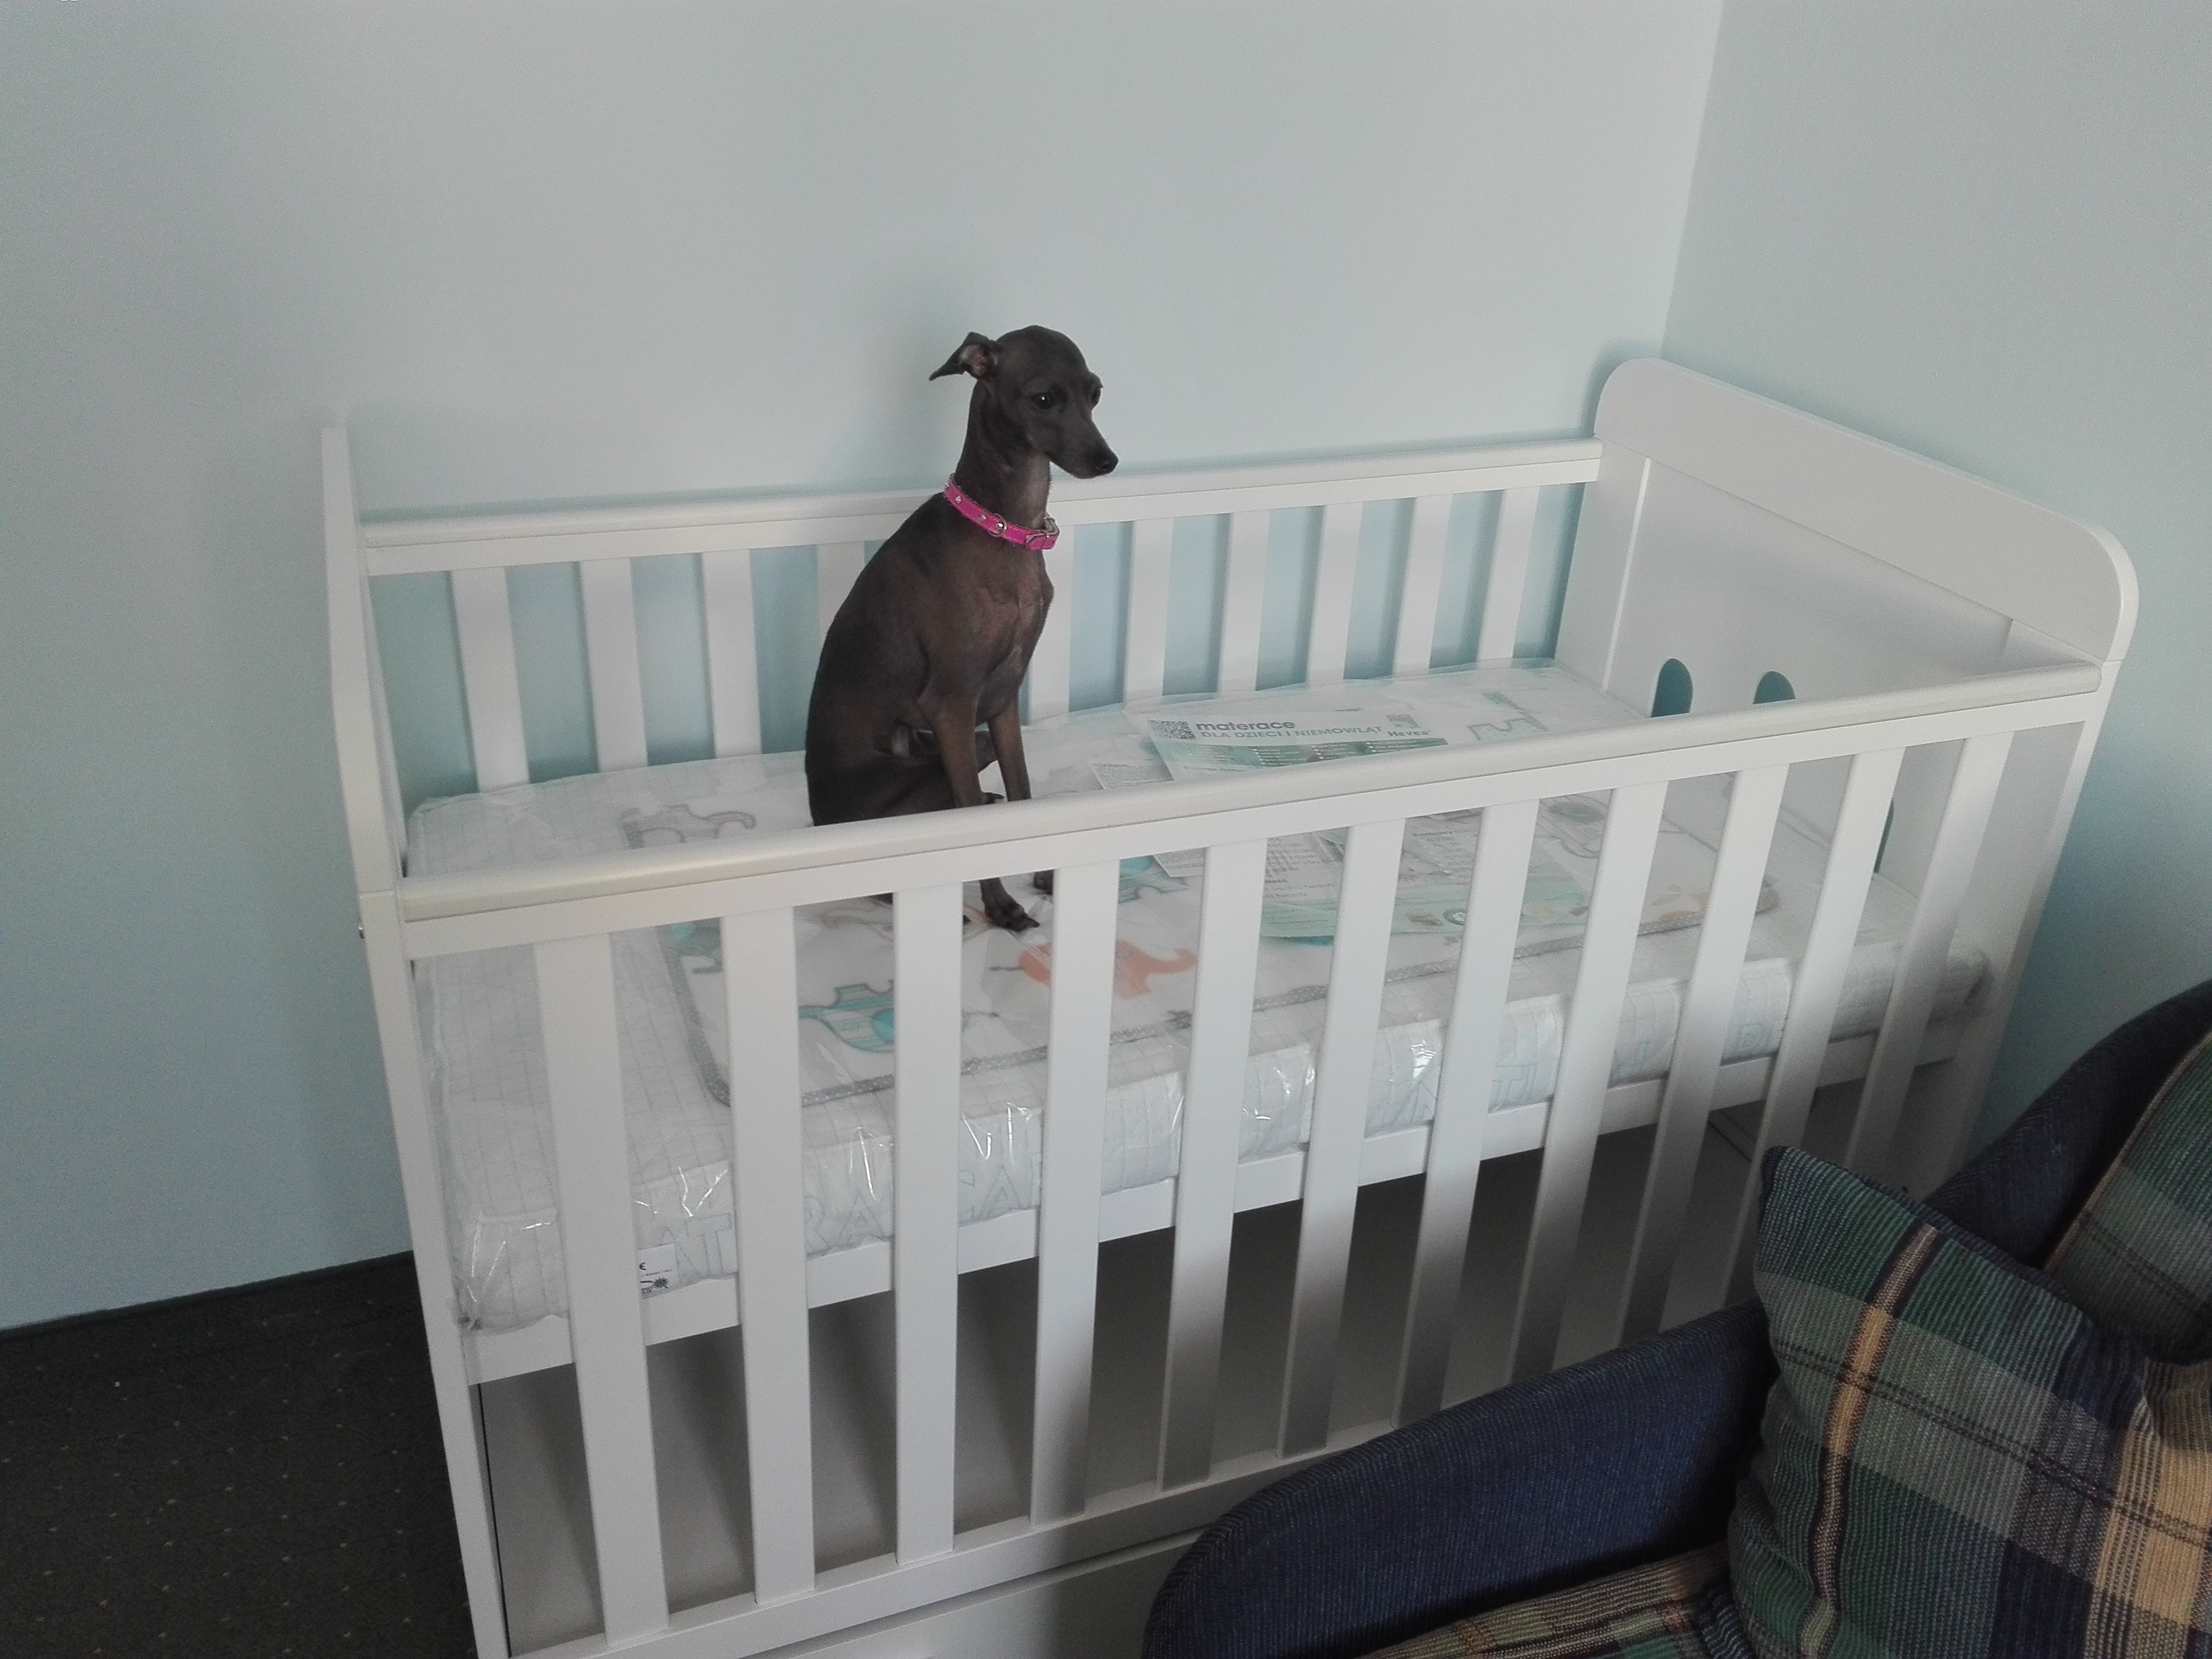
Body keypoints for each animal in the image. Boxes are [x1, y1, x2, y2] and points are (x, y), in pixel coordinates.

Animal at [805, 326, 1117, 931]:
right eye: (1043, 398)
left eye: (1095, 393)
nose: (1107, 459)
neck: (1004, 529)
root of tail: (818, 821)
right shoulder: (951, 704)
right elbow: (969, 823)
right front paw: (1000, 904)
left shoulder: (1001, 702)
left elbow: (1021, 792)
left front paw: (1044, 875)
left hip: (967, 740)